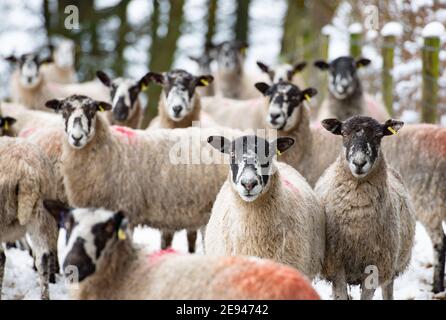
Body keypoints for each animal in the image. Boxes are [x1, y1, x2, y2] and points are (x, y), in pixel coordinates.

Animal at [316, 115, 416, 300]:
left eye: (378, 135)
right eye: (344, 133)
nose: (359, 162)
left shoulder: (377, 265)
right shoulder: (336, 263)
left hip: (391, 266)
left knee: (388, 290)